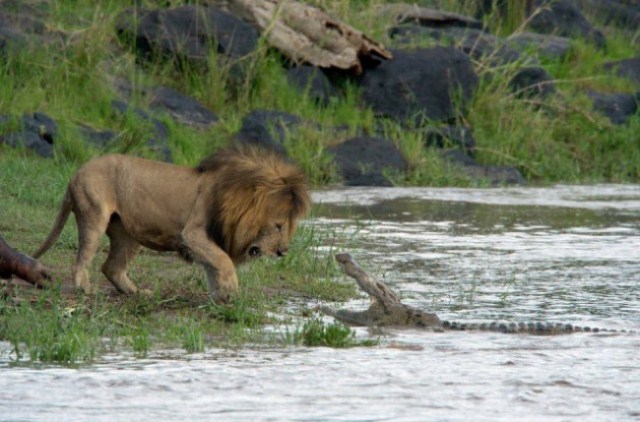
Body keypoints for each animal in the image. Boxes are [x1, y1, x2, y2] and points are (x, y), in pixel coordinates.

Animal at [33, 147, 312, 302]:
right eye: (278, 226)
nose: (283, 252)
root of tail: (75, 174)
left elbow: (213, 266)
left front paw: (221, 295)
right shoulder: (192, 234)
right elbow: (223, 261)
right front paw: (231, 289)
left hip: (127, 234)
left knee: (111, 267)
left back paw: (135, 293)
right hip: (94, 214)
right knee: (82, 260)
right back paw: (86, 290)